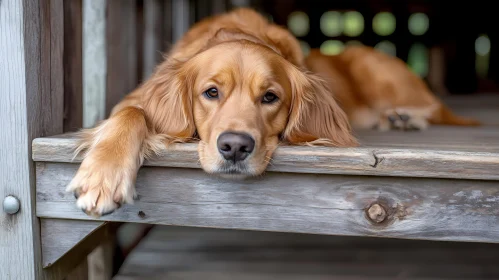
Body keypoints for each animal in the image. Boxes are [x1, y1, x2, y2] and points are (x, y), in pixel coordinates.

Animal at [69, 7, 480, 217]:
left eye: (270, 97)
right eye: (211, 92)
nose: (235, 147)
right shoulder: (135, 99)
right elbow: (130, 114)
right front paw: (102, 176)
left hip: (373, 65)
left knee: (436, 107)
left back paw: (405, 117)